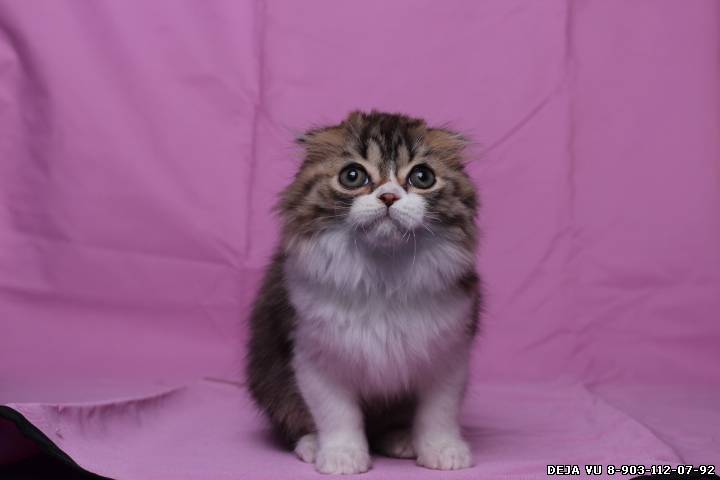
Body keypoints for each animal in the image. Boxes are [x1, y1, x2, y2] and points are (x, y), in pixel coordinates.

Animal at [246, 110, 481, 474]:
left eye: (422, 177)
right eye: (353, 176)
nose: (389, 196)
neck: (382, 272)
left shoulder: (448, 350)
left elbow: (439, 412)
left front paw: (444, 451)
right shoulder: (315, 354)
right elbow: (337, 414)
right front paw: (342, 456)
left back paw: (402, 440)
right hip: (270, 380)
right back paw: (311, 445)